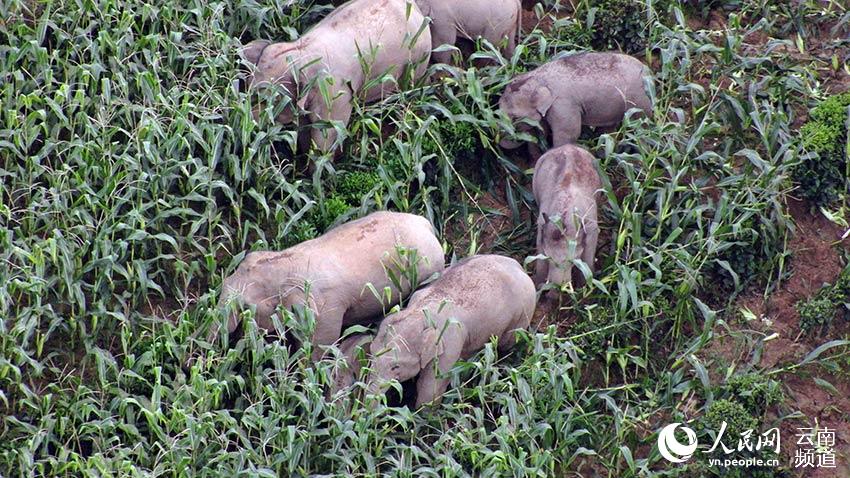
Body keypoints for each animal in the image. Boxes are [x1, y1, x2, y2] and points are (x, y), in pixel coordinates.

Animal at [212, 210, 444, 358]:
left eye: (244, 307)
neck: (287, 261)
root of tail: (425, 223)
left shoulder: (327, 306)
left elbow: (321, 344)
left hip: (429, 269)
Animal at [243, 0, 430, 152]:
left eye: (267, 100)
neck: (302, 50)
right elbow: (304, 127)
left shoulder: (334, 92)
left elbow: (327, 133)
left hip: (417, 63)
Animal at [362, 254, 528, 408]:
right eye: (370, 355)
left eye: (395, 366)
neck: (420, 314)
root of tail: (518, 265)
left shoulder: (449, 342)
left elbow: (430, 387)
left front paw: (423, 415)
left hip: (521, 315)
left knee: (508, 345)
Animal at [500, 51, 652, 148]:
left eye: (515, 117)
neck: (538, 77)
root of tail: (647, 70)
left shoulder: (562, 105)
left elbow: (568, 134)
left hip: (640, 99)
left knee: (641, 129)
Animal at [532, 144, 600, 288]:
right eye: (548, 257)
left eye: (573, 261)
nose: (559, 288)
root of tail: (568, 146)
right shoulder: (542, 221)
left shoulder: (590, 222)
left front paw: (585, 284)